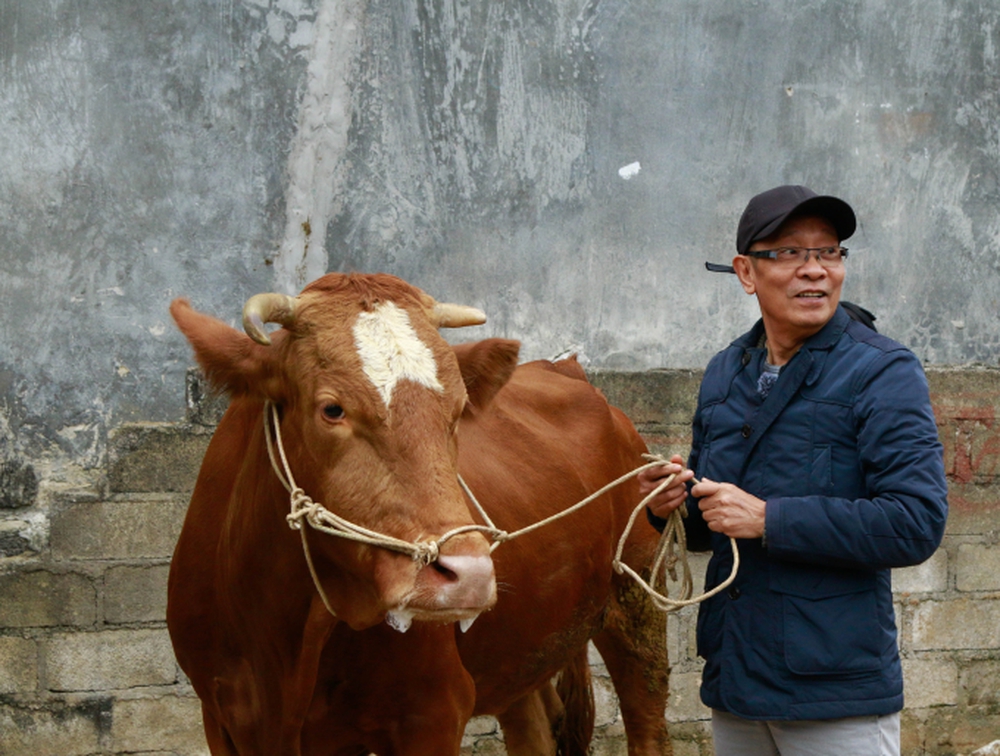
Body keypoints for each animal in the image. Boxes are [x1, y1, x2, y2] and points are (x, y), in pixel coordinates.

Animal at [168, 274, 672, 756]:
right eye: (332, 409)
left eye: (459, 410)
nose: (468, 575)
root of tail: (565, 369)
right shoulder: (223, 719)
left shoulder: (432, 712)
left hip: (637, 600)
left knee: (647, 722)